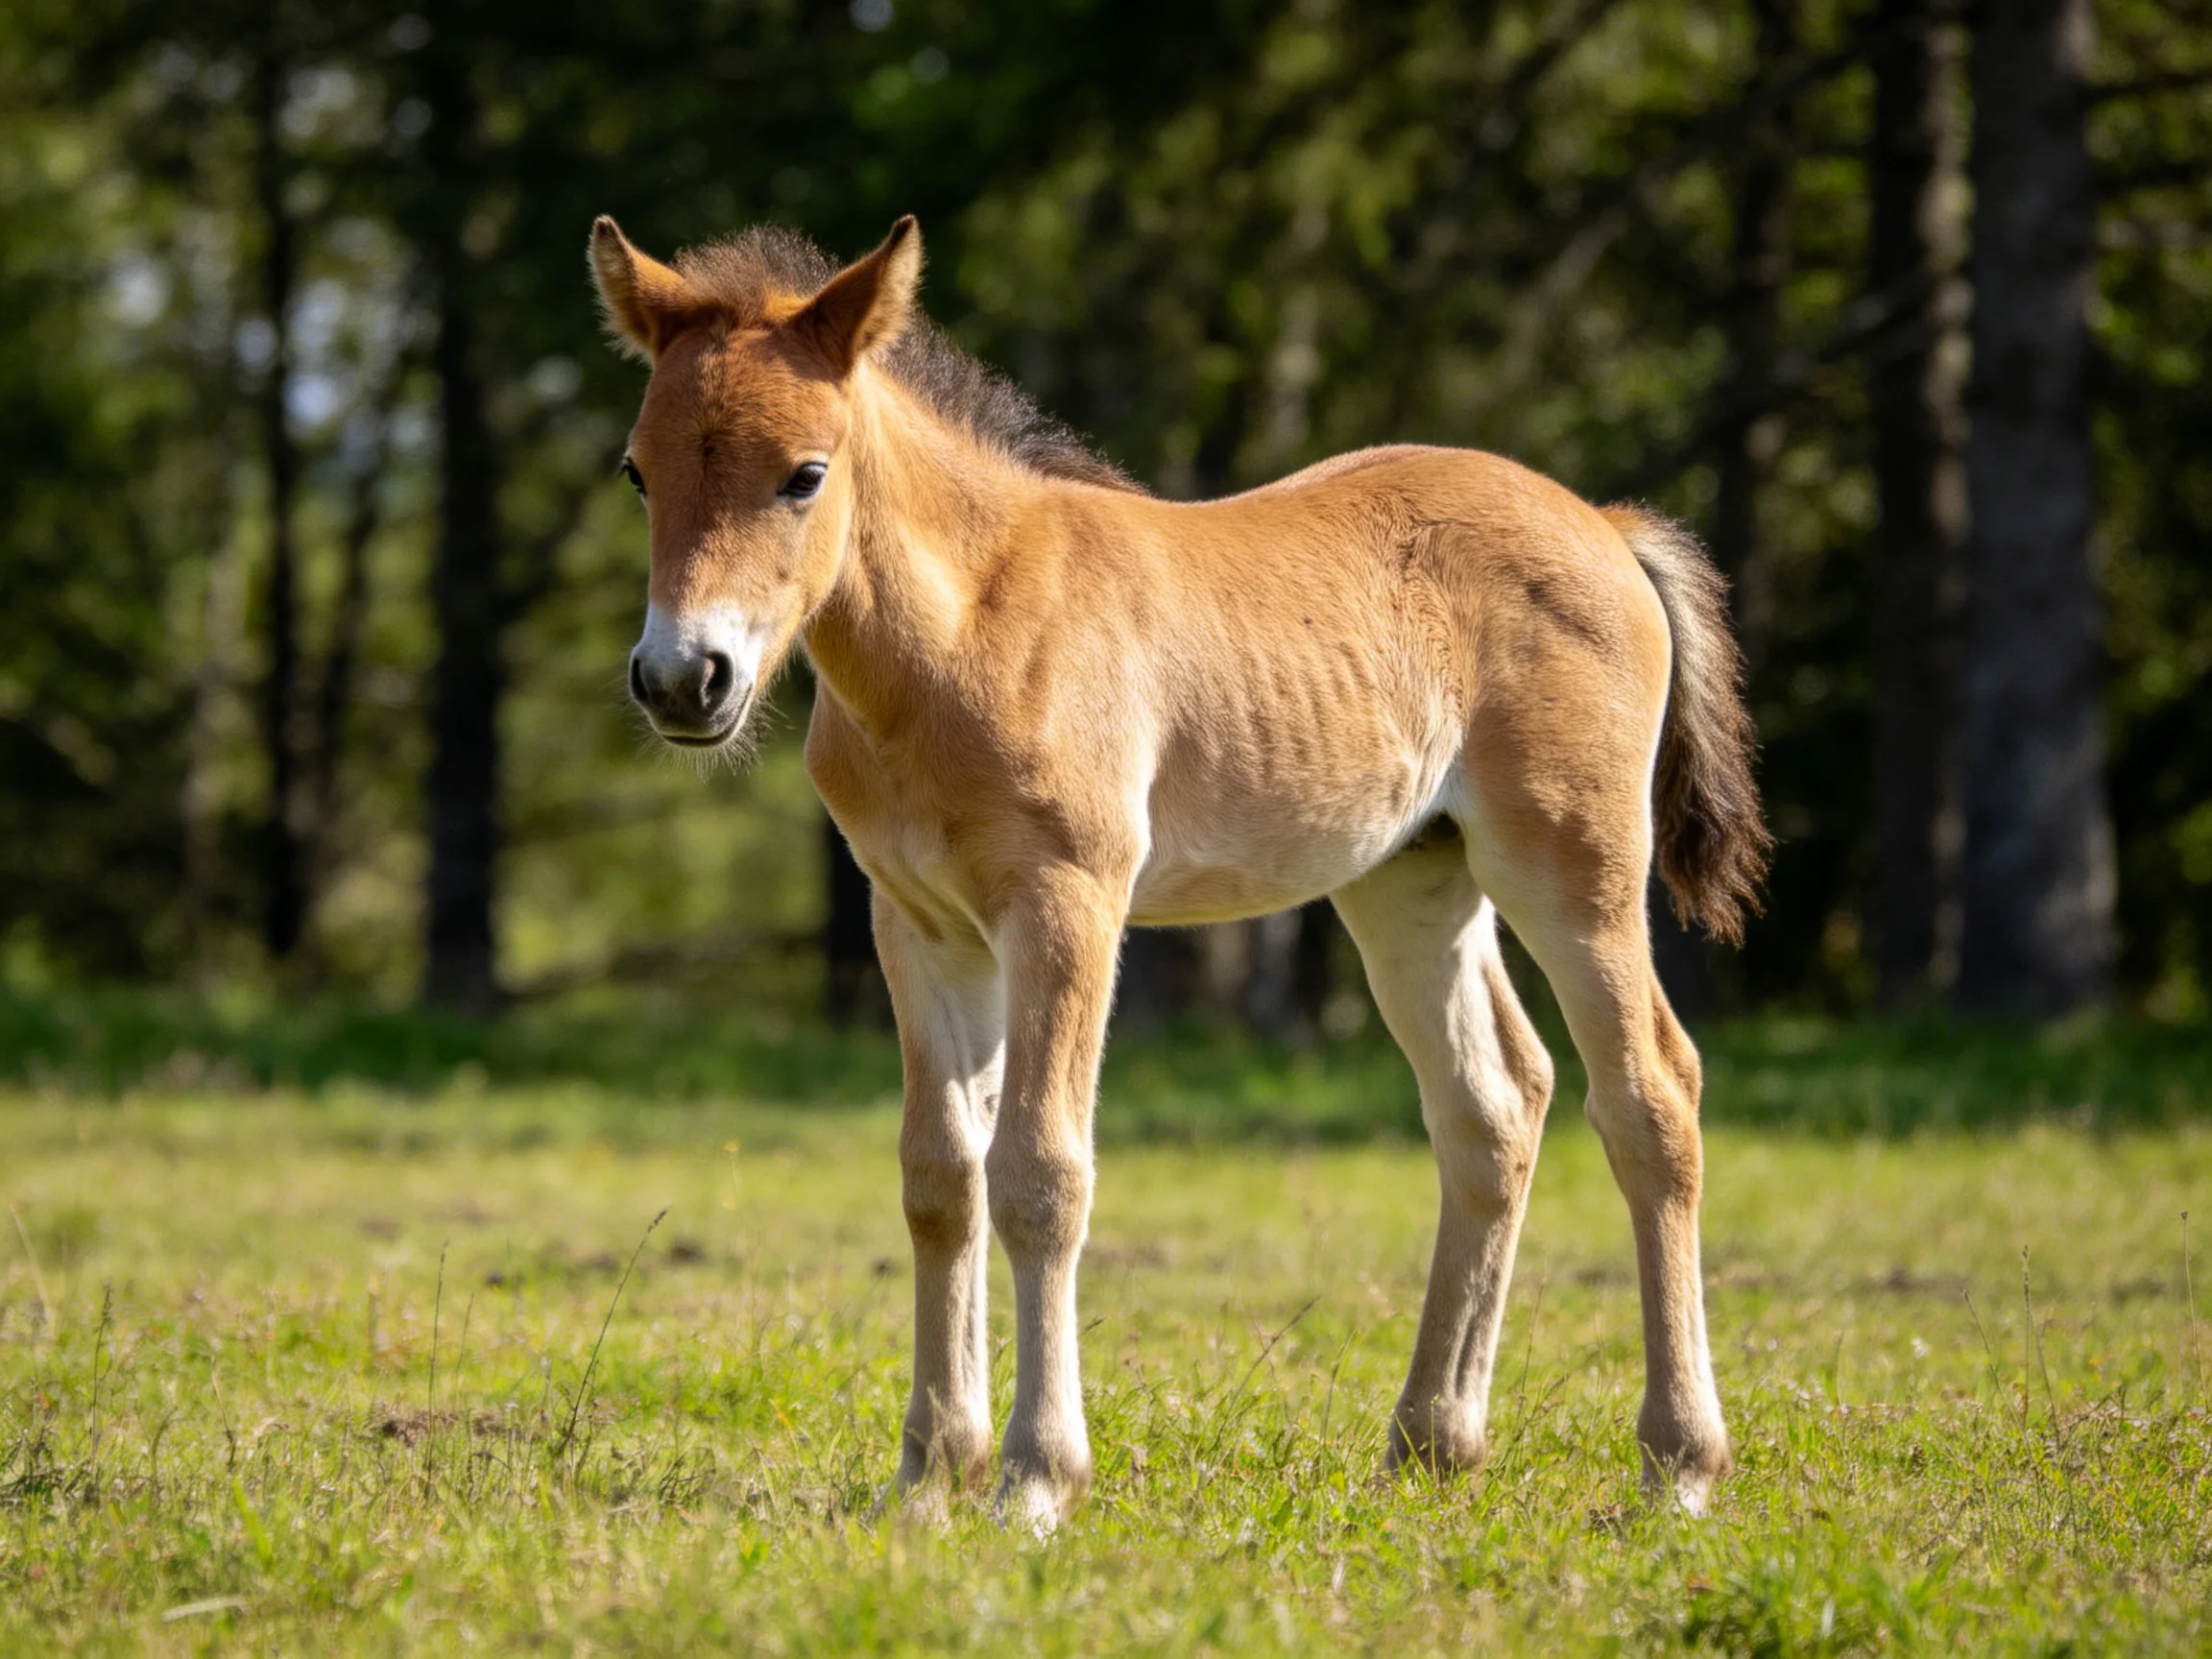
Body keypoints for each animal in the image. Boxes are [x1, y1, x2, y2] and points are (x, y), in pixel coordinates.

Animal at [589, 213, 1770, 1530]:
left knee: (1652, 1093)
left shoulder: (1070, 903)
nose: (683, 679)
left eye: (803, 473)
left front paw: (1036, 1481)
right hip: (1412, 881)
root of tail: (1605, 526)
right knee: (1495, 1103)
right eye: (639, 473)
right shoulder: (919, 924)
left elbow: (1040, 1171)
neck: (966, 633)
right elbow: (940, 1175)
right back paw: (1431, 1443)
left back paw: (1679, 1462)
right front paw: (929, 1478)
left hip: (1574, 862)